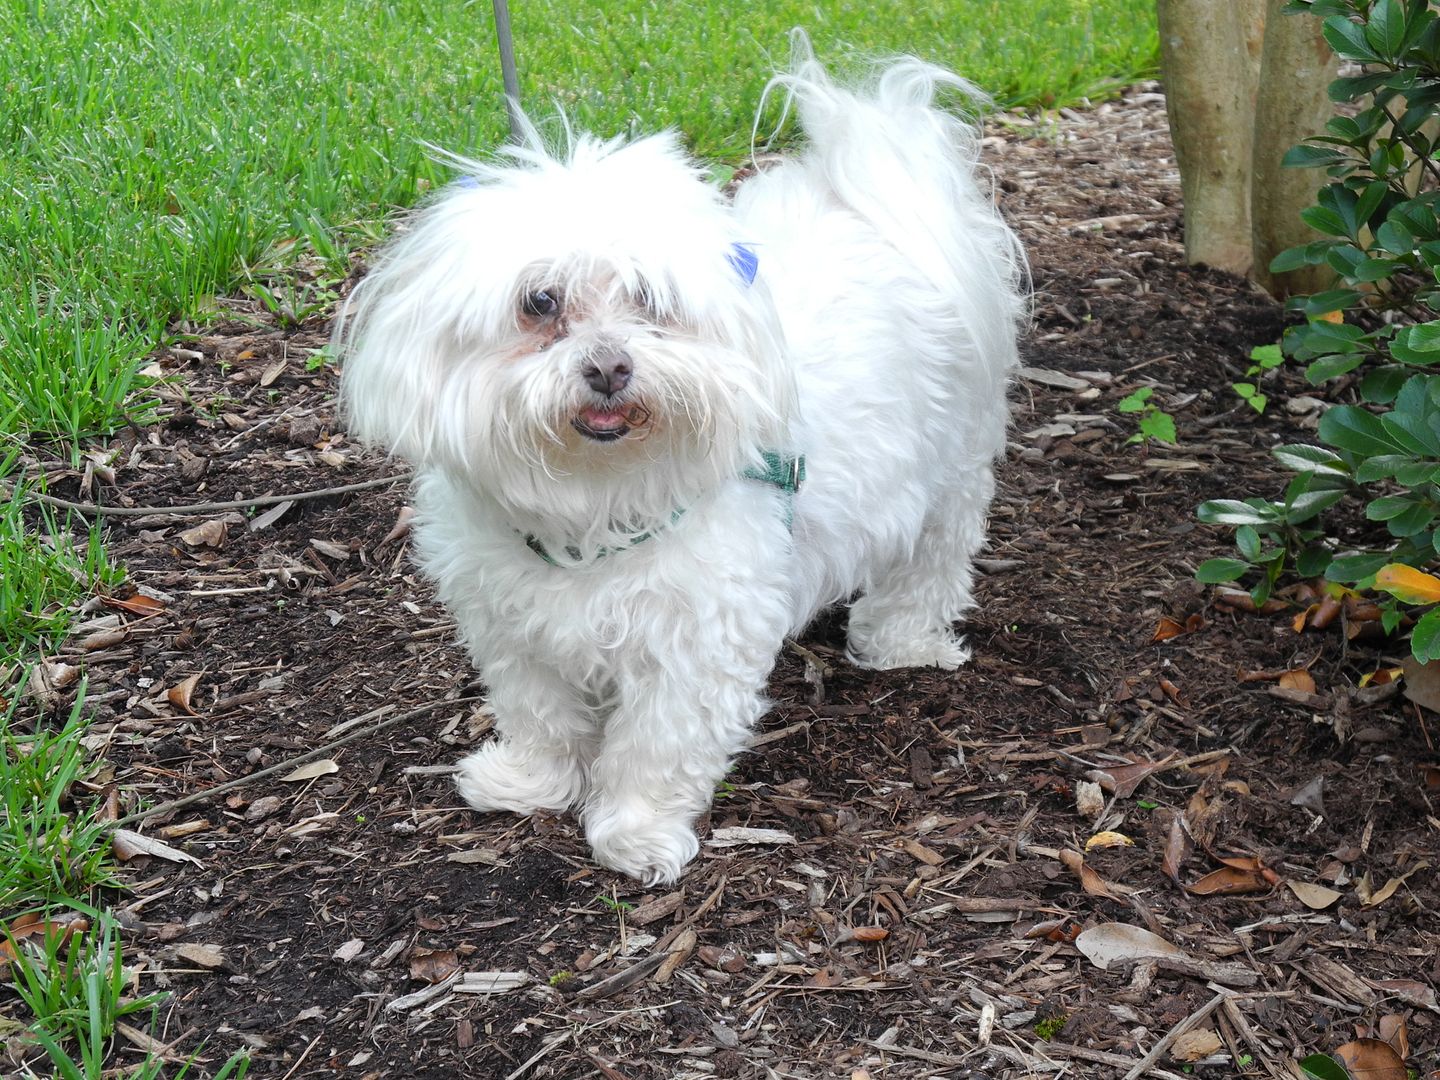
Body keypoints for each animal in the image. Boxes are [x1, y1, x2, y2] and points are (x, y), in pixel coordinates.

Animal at [339, 40, 1025, 887]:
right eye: (539, 301)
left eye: (649, 301)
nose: (609, 366)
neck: (595, 501)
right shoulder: (512, 627)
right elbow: (540, 715)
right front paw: (531, 782)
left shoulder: (695, 641)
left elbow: (656, 746)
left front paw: (636, 834)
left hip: (952, 462)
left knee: (933, 558)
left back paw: (904, 643)